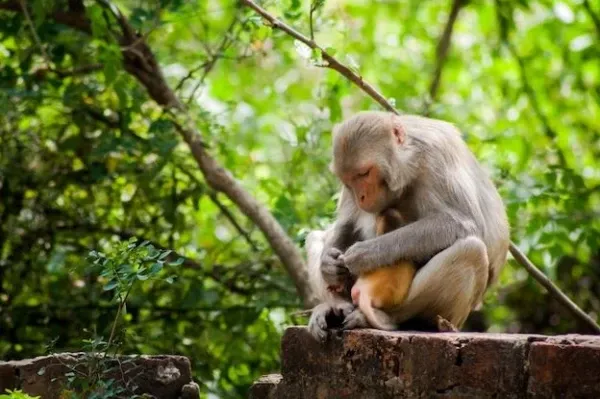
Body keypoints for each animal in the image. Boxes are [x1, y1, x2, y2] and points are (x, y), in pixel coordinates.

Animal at [308, 111, 508, 342]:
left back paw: (383, 318)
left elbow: (465, 222)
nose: (361, 197)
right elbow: (346, 224)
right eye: (348, 179)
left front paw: (366, 254)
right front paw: (328, 265)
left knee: (471, 251)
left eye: (364, 173)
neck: (409, 164)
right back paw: (334, 307)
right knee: (316, 236)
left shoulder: (437, 157)